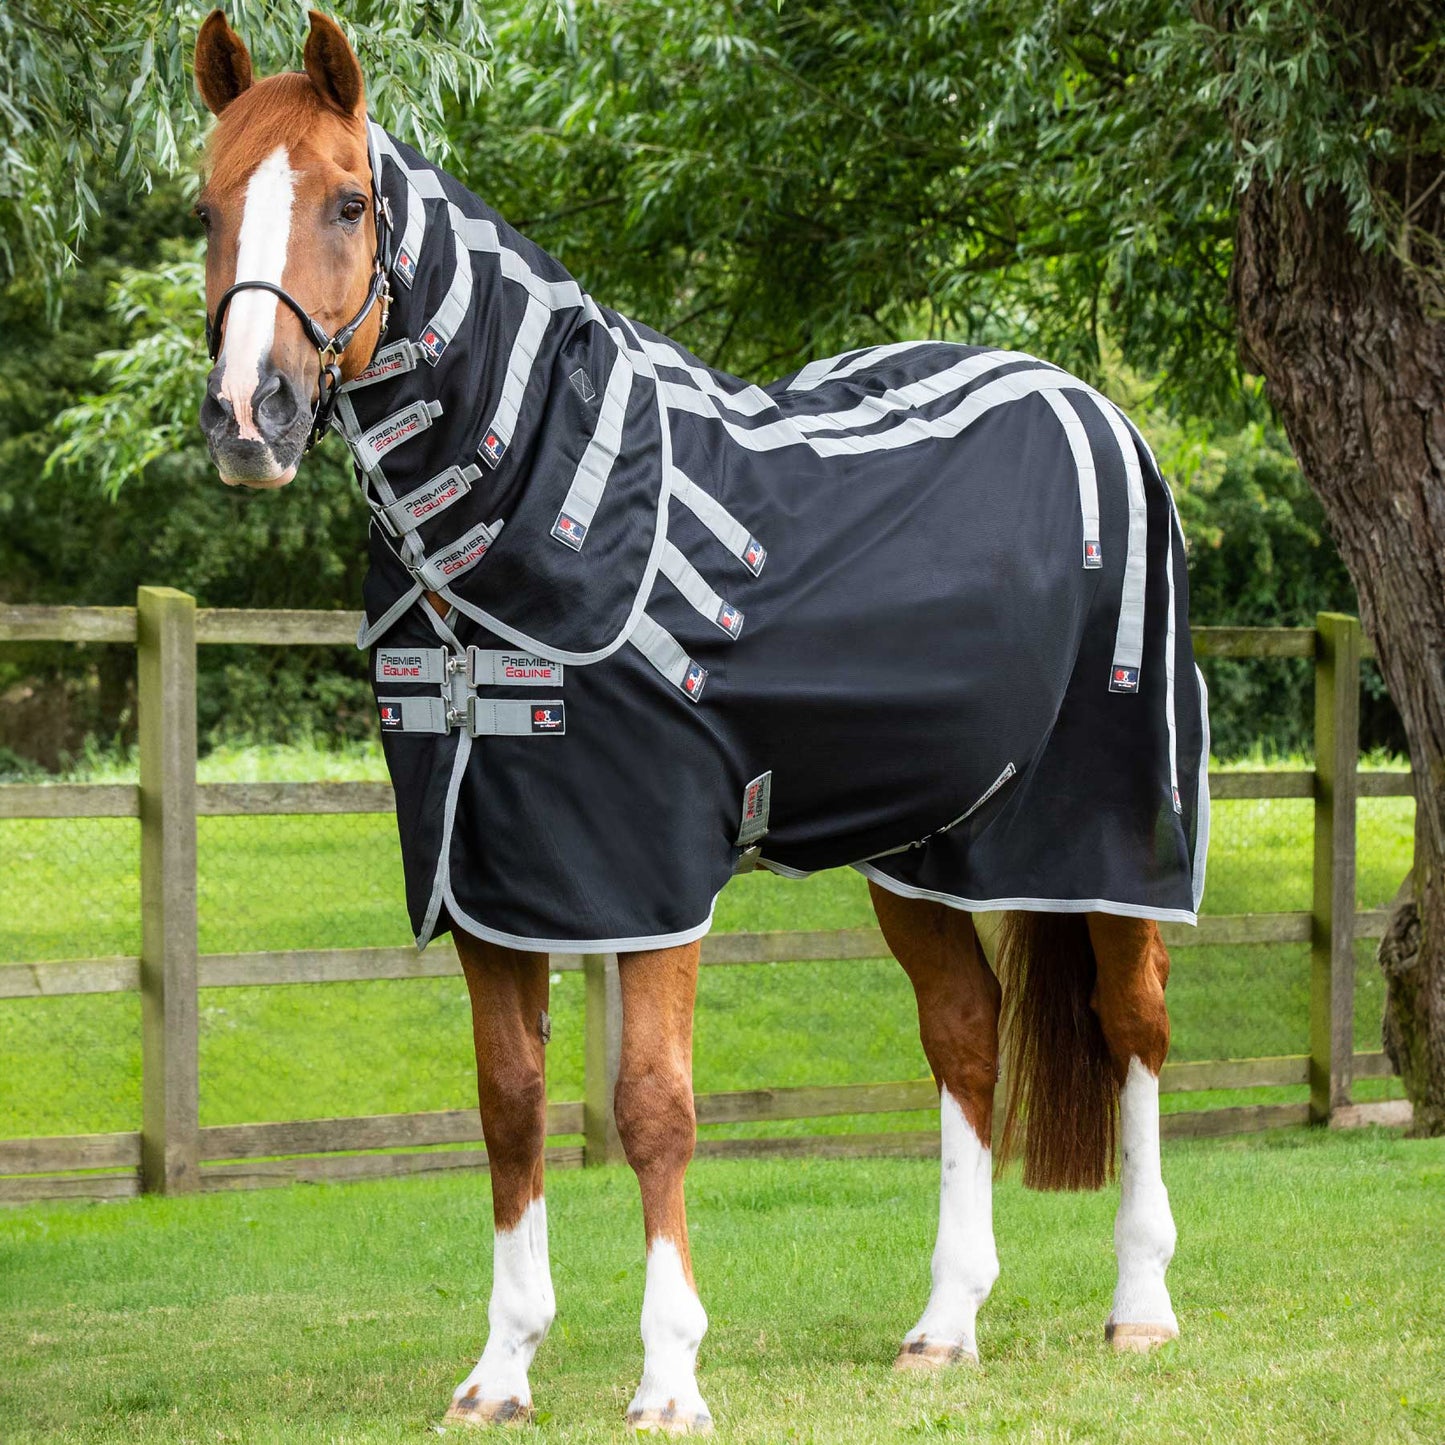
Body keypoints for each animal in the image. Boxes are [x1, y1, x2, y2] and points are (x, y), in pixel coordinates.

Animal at [192, 10, 1204, 1432]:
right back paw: (943, 1322)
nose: (250, 416)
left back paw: (1140, 1303)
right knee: (963, 1033)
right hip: (916, 848)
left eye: (345, 200)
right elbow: (511, 1104)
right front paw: (500, 1367)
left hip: (1108, 840)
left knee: (1133, 1029)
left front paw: (669, 1372)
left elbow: (653, 1105)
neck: (522, 519)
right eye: (206, 208)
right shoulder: (490, 870)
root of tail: (1092, 405)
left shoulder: (645, 867)